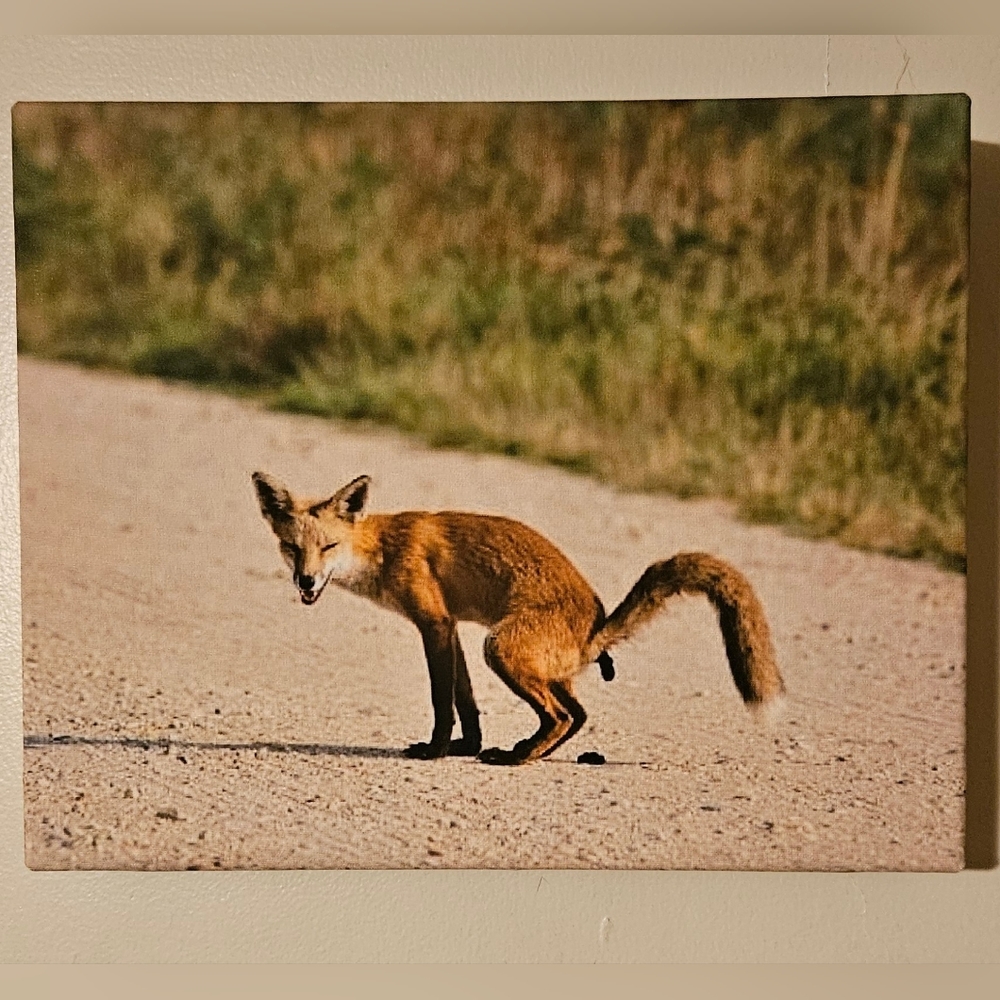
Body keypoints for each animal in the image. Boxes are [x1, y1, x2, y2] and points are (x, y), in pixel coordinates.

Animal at [251, 471, 784, 765]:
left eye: (328, 547)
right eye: (291, 548)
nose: (305, 582)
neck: (382, 548)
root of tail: (596, 627)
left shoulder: (434, 624)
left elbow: (442, 702)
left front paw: (437, 752)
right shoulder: (451, 627)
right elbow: (466, 702)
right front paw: (466, 747)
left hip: (501, 649)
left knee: (561, 715)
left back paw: (517, 758)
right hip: (534, 664)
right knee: (577, 715)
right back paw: (523, 750)